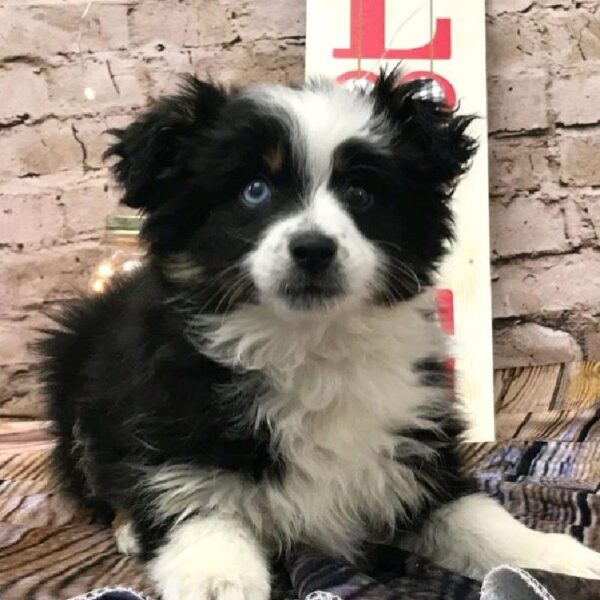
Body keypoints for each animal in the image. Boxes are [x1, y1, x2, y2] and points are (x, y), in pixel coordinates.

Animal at [39, 75, 600, 600]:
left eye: (360, 192)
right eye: (254, 189)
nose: (313, 248)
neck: (311, 346)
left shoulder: (417, 449)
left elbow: (480, 518)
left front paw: (559, 558)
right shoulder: (177, 439)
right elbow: (200, 519)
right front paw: (215, 575)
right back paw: (128, 527)